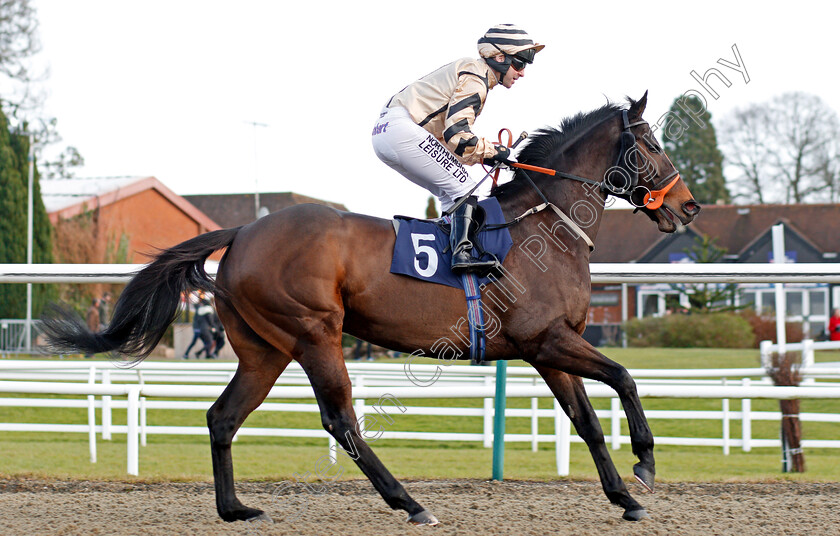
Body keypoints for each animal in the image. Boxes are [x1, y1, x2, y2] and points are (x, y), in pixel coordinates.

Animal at [44, 91, 704, 524]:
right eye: (651, 144)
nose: (689, 207)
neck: (547, 225)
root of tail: (242, 232)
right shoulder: (547, 340)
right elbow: (625, 376)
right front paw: (646, 463)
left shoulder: (549, 349)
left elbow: (588, 419)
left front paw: (626, 497)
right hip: (316, 334)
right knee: (341, 421)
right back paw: (409, 503)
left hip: (263, 350)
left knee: (222, 417)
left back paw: (235, 509)